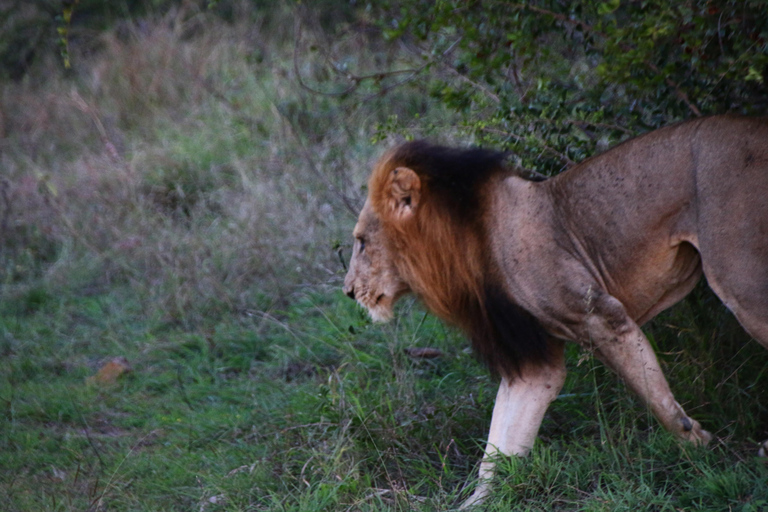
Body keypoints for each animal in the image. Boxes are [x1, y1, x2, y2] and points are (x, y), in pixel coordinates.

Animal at [344, 115, 768, 504]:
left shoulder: (600, 314)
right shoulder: (535, 363)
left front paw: (696, 444)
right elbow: (499, 445)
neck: (464, 246)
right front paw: (477, 501)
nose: (348, 291)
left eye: (362, 242)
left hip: (739, 277)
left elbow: (654, 395)